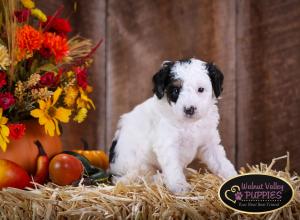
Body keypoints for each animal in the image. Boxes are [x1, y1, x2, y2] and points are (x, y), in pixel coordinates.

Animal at [108, 58, 237, 194]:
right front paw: (179, 186)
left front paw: (231, 175)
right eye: (176, 91)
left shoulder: (209, 143)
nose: (189, 109)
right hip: (137, 167)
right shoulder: (168, 144)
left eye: (200, 89)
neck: (188, 124)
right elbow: (173, 168)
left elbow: (221, 161)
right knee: (142, 176)